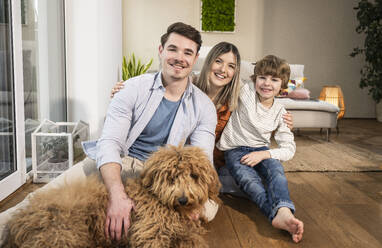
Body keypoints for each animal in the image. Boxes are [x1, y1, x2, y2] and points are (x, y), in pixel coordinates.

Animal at [2, 145, 221, 248]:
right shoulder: (150, 233)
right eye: (172, 177)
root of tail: (18, 223)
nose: (183, 199)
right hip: (62, 234)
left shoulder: (184, 232)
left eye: (194, 175)